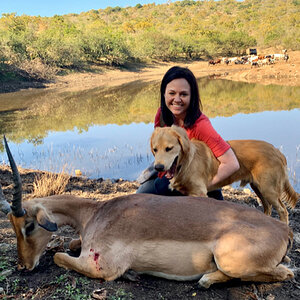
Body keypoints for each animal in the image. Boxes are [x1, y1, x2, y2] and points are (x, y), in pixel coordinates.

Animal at [151, 124, 298, 223]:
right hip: (259, 188)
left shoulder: (200, 193)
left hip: (268, 189)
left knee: (283, 210)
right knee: (268, 208)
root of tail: (278, 151)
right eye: (155, 149)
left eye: (169, 148)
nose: (158, 167)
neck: (186, 162)